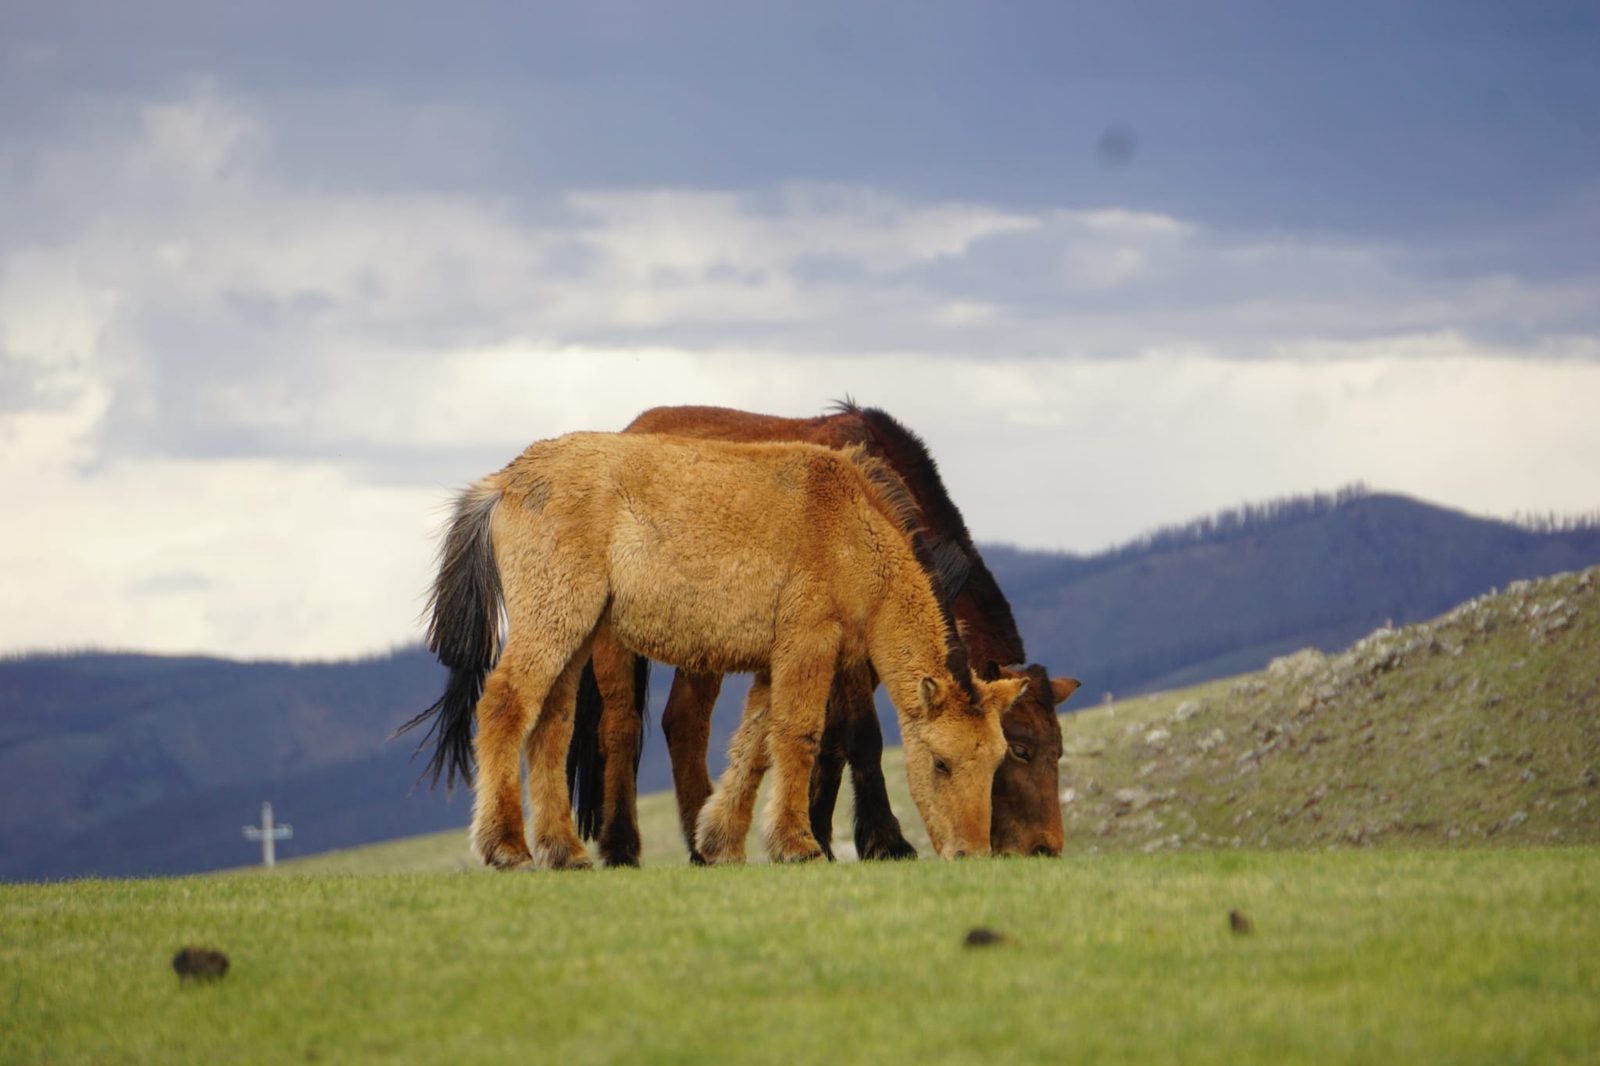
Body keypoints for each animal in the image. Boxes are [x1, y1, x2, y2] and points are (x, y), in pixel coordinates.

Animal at [401, 431, 1028, 867]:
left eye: (998, 760)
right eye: (941, 763)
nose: (972, 854)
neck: (852, 527)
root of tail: (506, 481)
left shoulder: (774, 664)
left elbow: (754, 747)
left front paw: (720, 841)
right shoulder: (808, 644)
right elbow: (798, 736)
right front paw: (797, 844)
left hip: (576, 636)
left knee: (549, 729)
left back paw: (566, 851)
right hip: (552, 623)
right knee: (504, 707)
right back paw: (508, 847)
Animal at [570, 402, 1079, 866]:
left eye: (1055, 750)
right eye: (1020, 749)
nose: (1045, 848)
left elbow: (827, 741)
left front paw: (817, 834)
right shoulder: (843, 653)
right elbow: (862, 735)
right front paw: (885, 841)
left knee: (684, 723)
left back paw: (703, 840)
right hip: (618, 642)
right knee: (621, 727)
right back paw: (622, 847)